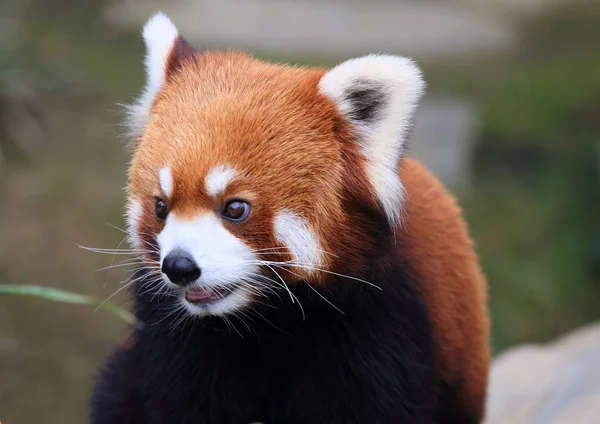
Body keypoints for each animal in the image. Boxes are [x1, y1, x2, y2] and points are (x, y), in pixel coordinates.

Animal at [91, 11, 490, 422]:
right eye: (160, 206)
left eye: (235, 208)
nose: (179, 267)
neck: (265, 321)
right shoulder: (172, 341)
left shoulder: (385, 323)